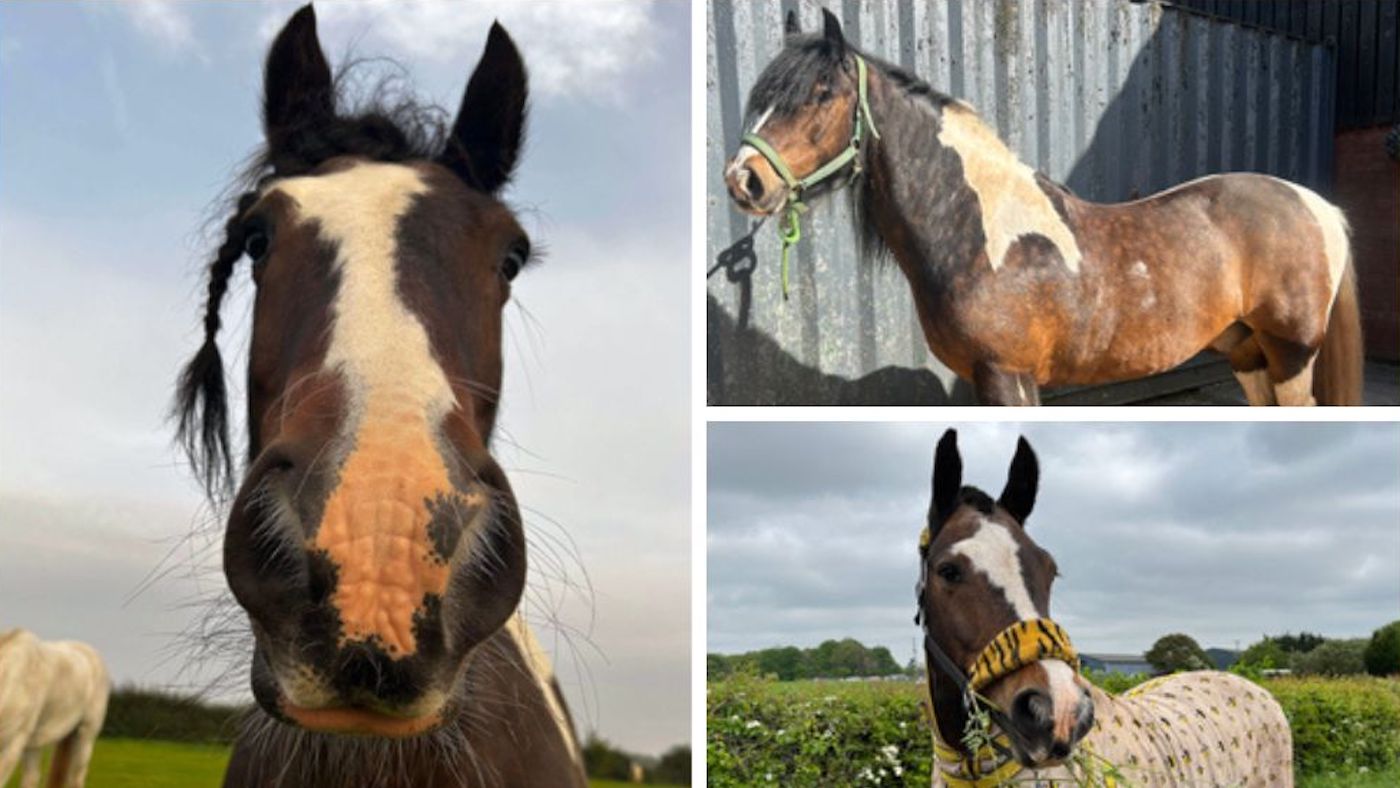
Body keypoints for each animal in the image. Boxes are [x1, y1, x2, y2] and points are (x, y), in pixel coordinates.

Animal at [724, 10, 1363, 406]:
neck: (979, 236)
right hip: (1248, 352)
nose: (742, 180)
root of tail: (1316, 206)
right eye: (763, 97)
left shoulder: (1005, 373)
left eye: (821, 94)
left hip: (1290, 354)